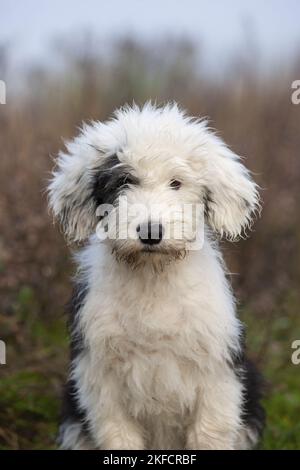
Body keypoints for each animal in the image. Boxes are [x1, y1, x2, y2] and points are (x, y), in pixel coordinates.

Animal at [48, 103, 264, 452]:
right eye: (123, 180)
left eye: (176, 183)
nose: (151, 231)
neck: (152, 278)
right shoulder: (100, 379)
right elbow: (118, 436)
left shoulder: (218, 376)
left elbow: (209, 433)